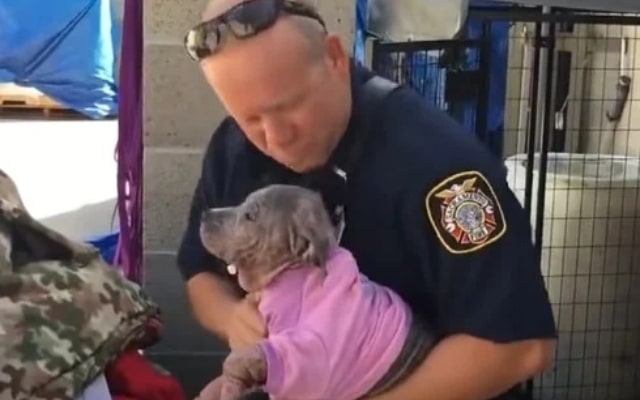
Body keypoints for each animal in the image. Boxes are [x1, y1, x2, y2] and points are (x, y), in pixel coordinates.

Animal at [198, 184, 436, 400]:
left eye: (250, 215)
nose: (205, 214)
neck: (291, 272)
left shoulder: (310, 355)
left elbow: (242, 360)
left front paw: (230, 387)